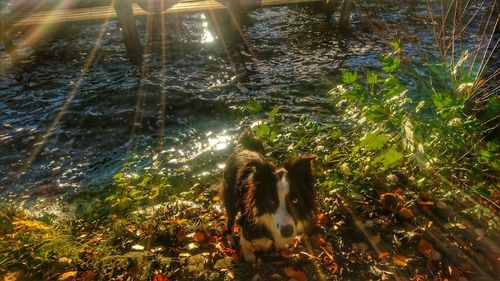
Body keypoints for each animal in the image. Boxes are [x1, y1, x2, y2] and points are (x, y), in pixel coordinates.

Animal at [221, 129, 314, 260]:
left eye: (295, 200)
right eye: (271, 201)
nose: (287, 232)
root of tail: (243, 146)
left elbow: (266, 243)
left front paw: (264, 250)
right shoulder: (248, 224)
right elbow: (247, 246)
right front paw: (250, 258)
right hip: (231, 200)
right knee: (229, 221)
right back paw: (231, 241)